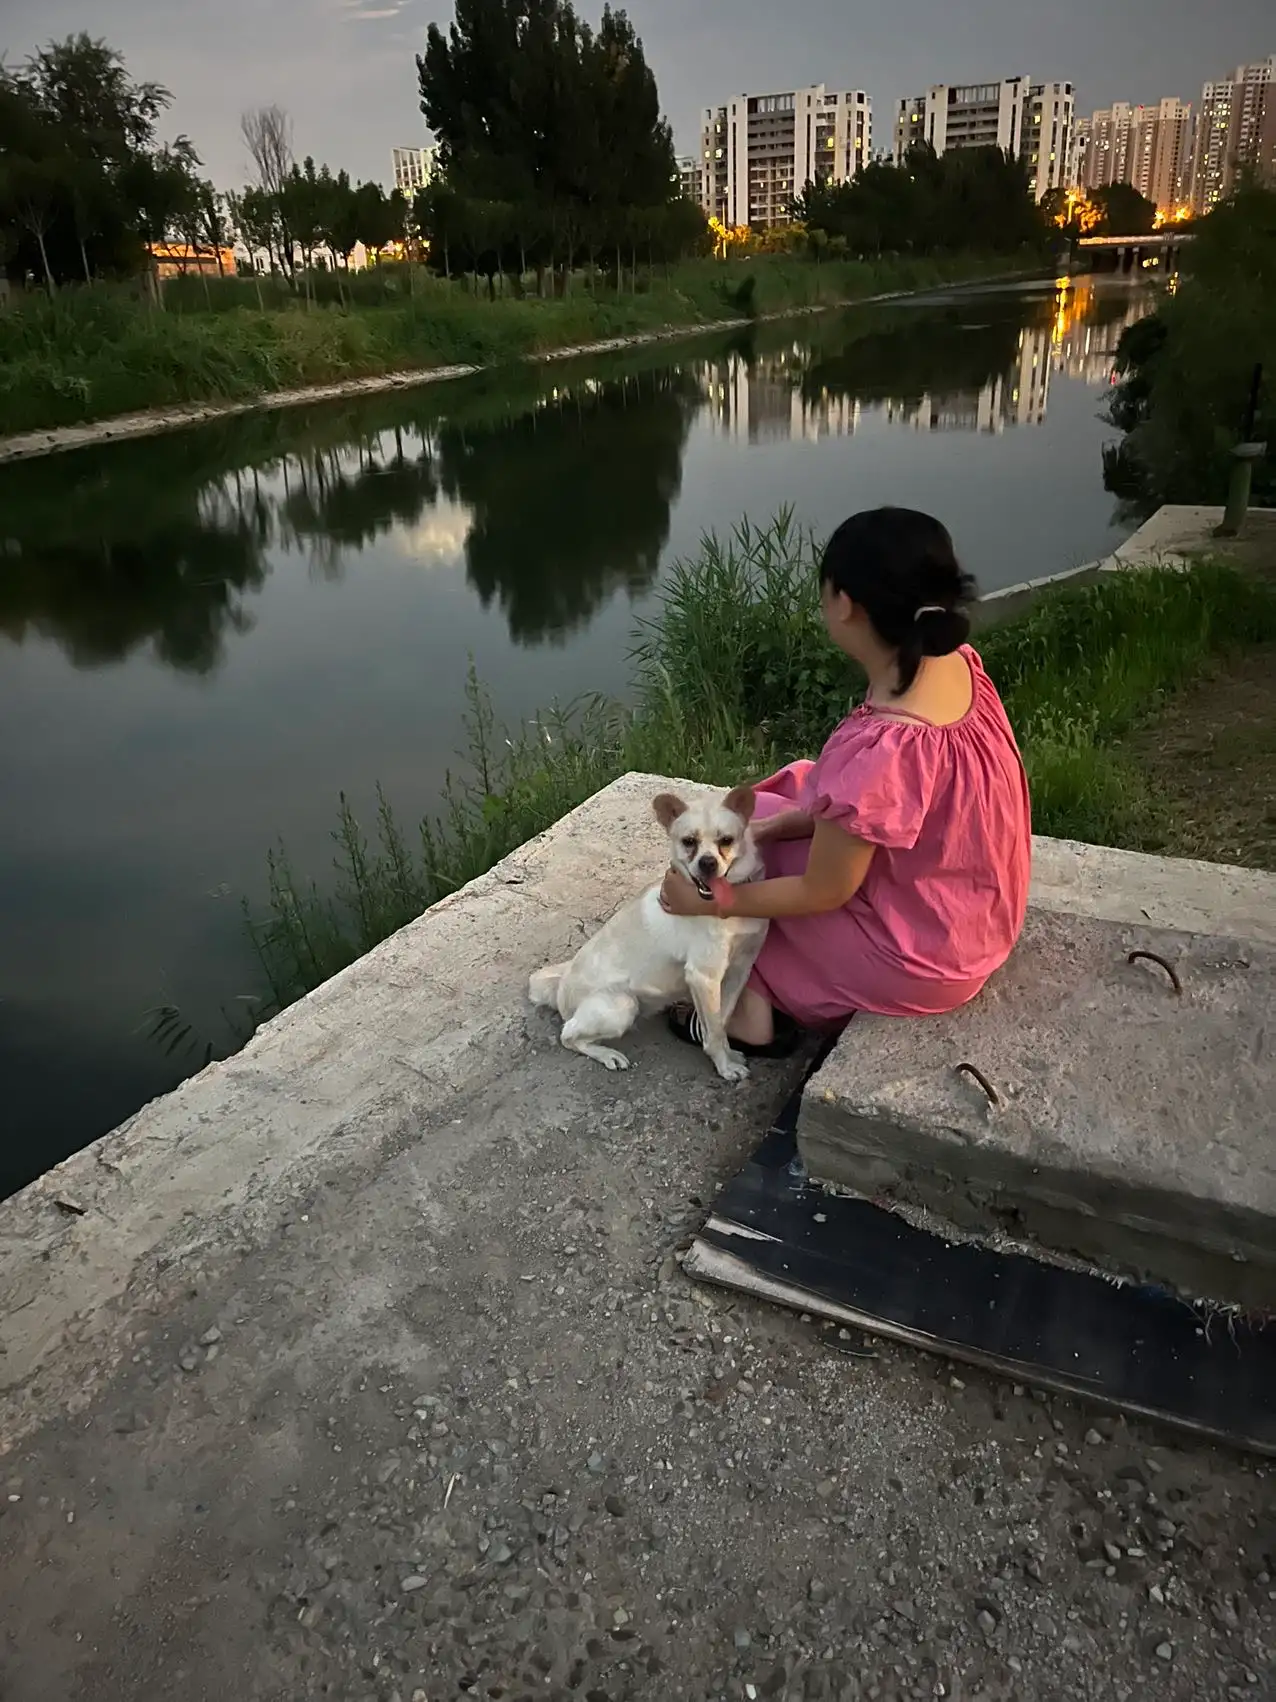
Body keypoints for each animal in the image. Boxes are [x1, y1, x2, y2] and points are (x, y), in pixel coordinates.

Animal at [530, 789, 769, 1082]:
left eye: (726, 840)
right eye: (688, 842)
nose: (707, 863)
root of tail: (561, 987)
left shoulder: (739, 970)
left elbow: (719, 1022)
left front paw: (727, 1054)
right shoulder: (704, 976)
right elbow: (713, 1031)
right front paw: (724, 1066)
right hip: (622, 1005)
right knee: (568, 1035)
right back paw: (608, 1055)